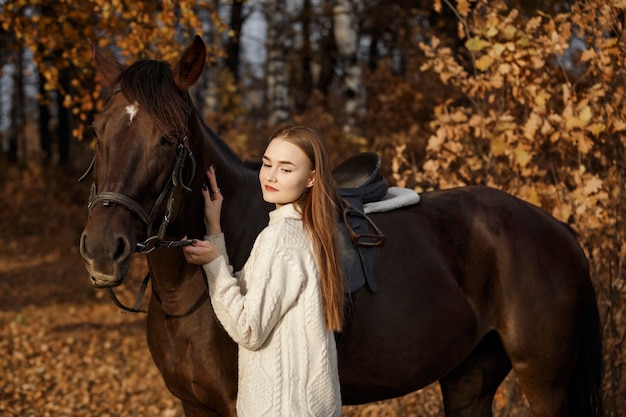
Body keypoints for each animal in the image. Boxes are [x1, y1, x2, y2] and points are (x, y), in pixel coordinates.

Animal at [78, 35, 600, 416]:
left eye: (168, 139)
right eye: (98, 132)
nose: (103, 249)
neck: (187, 291)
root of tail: (558, 229)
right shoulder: (194, 405)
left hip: (543, 379)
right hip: (469, 377)